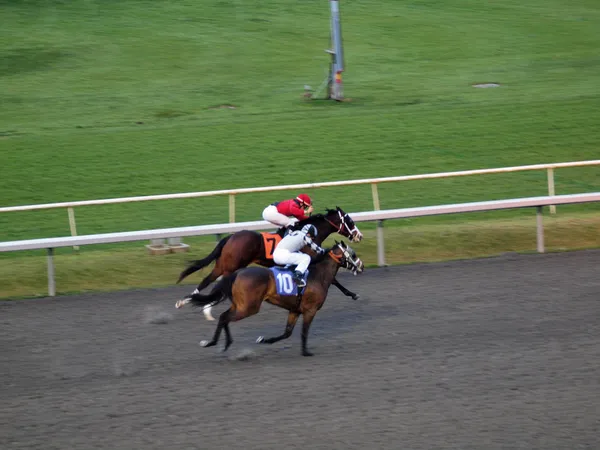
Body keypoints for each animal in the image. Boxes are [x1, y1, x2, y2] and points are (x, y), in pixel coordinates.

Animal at [175, 241, 366, 356]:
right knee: (224, 317)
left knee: (224, 316)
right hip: (249, 308)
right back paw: (214, 342)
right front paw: (306, 352)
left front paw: (264, 340)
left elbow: (287, 333)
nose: (362, 267)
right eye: (353, 255)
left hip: (240, 305)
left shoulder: (294, 310)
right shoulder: (310, 311)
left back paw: (224, 343)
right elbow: (304, 332)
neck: (318, 275)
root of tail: (237, 273)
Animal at [176, 206, 364, 318]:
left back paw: (185, 302)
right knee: (216, 283)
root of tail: (231, 237)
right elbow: (333, 279)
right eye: (349, 221)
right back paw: (205, 308)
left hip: (223, 264)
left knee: (207, 279)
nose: (359, 236)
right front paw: (352, 294)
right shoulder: (310, 261)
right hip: (231, 266)